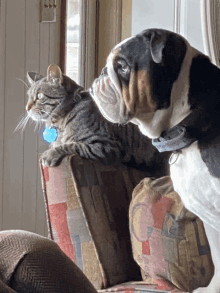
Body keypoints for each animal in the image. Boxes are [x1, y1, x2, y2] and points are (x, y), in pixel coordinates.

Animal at [22, 64, 169, 177]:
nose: (26, 107)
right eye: (28, 96)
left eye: (39, 96)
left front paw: (50, 154)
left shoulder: (105, 144)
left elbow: (73, 145)